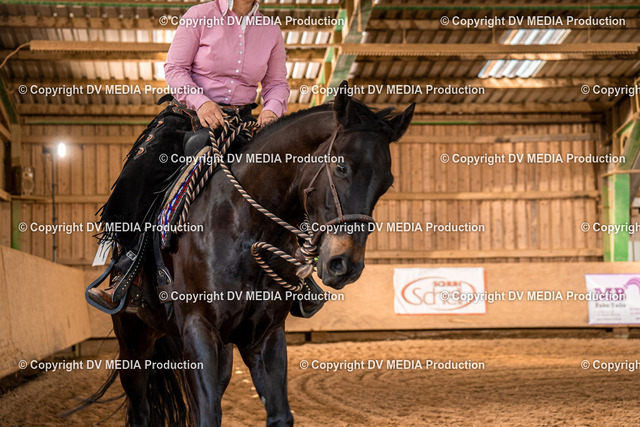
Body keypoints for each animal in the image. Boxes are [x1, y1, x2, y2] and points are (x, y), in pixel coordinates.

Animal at [108, 83, 414, 426]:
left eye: (387, 183)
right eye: (341, 167)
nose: (345, 264)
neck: (245, 228)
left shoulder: (264, 336)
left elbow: (279, 414)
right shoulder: (200, 329)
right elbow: (208, 415)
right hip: (134, 342)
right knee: (140, 408)